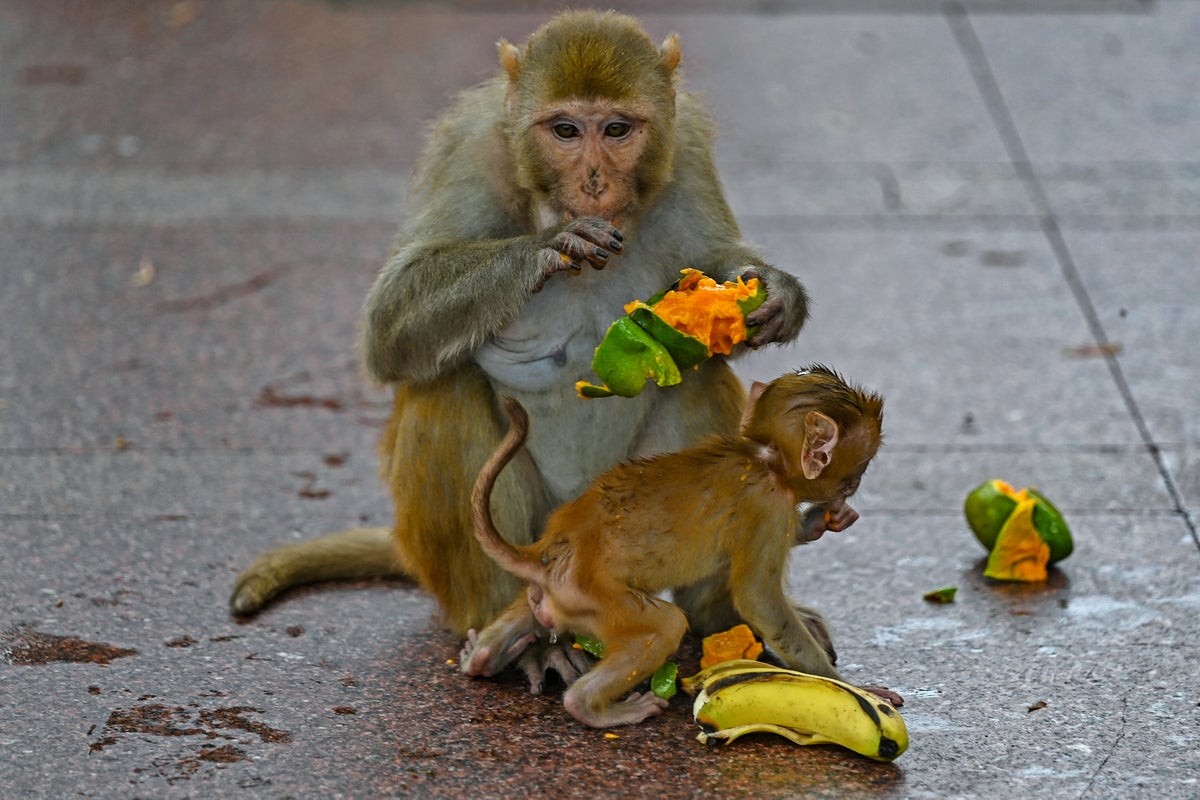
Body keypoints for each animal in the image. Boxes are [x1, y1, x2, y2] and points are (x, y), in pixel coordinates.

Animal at [230, 11, 812, 686]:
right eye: (564, 130)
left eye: (617, 129)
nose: (593, 182)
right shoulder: (469, 148)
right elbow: (388, 323)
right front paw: (552, 245)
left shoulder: (685, 146)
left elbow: (715, 268)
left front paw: (774, 292)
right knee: (446, 391)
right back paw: (515, 634)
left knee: (697, 378)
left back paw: (720, 613)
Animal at [460, 366, 902, 728]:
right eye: (859, 469)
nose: (853, 487)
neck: (765, 459)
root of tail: (549, 552)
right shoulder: (768, 506)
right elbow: (758, 599)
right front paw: (850, 686)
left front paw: (818, 521)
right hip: (593, 597)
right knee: (666, 624)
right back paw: (588, 706)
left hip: (552, 593)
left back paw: (481, 656)